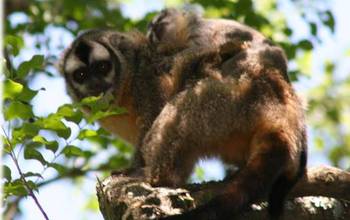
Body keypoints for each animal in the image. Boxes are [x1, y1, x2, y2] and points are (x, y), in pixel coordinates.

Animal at [59, 7, 306, 219]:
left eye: (102, 67)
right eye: (81, 75)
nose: (94, 84)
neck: (125, 86)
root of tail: (278, 98)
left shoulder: (146, 80)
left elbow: (154, 113)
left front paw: (135, 167)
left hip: (226, 99)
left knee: (178, 111)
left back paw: (154, 177)